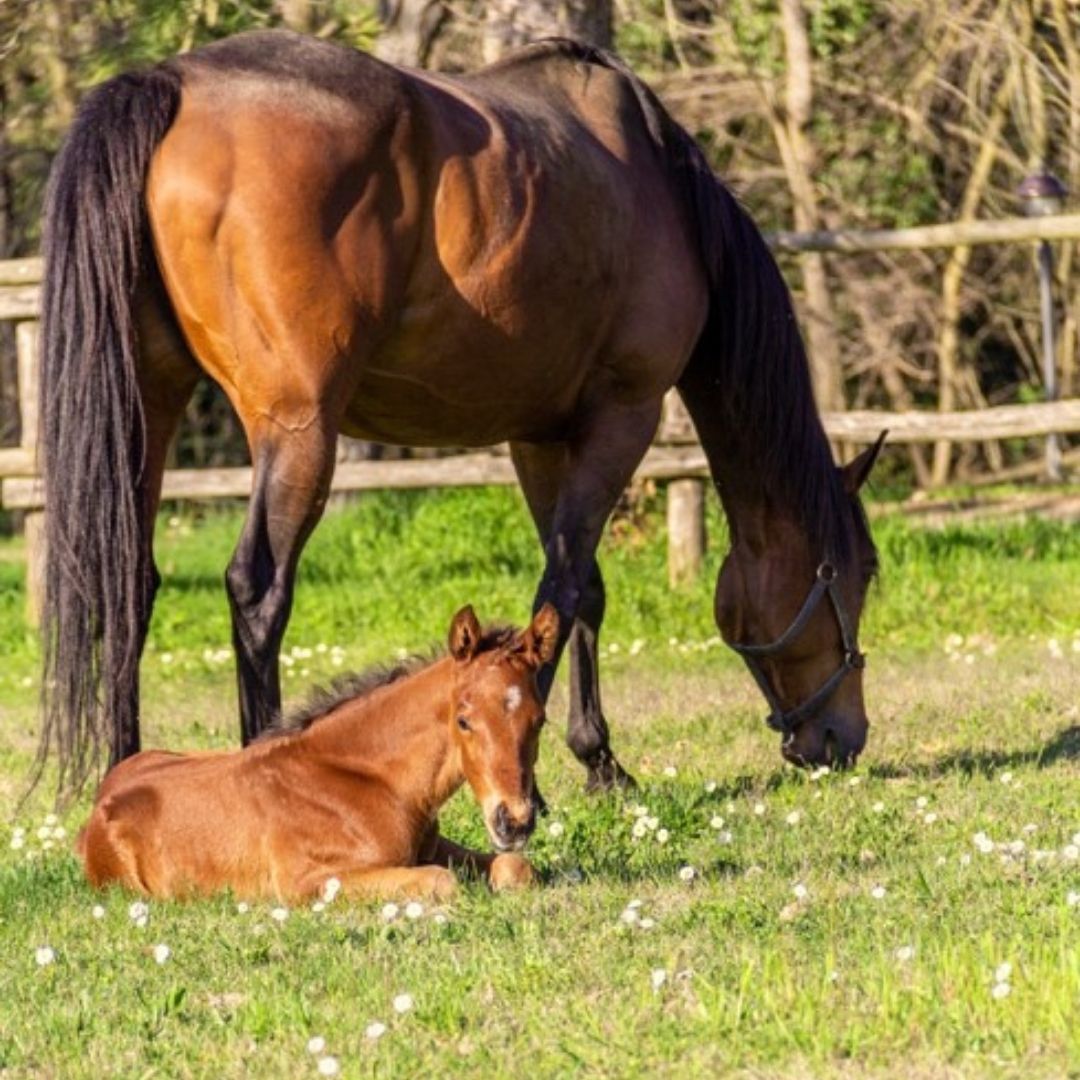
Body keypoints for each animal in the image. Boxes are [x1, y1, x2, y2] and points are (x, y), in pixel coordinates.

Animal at [42, 29, 881, 799]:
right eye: (862, 572)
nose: (841, 740)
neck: (660, 188)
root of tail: (172, 82)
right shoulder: (624, 417)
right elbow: (562, 590)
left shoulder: (541, 437)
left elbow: (583, 594)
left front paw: (600, 762)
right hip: (299, 430)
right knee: (258, 589)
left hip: (151, 406)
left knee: (127, 580)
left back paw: (125, 779)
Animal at [78, 609, 557, 902]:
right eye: (464, 720)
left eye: (539, 720)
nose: (514, 821)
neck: (370, 780)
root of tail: (102, 796)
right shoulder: (306, 882)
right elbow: (442, 881)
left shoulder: (435, 847)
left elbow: (515, 867)